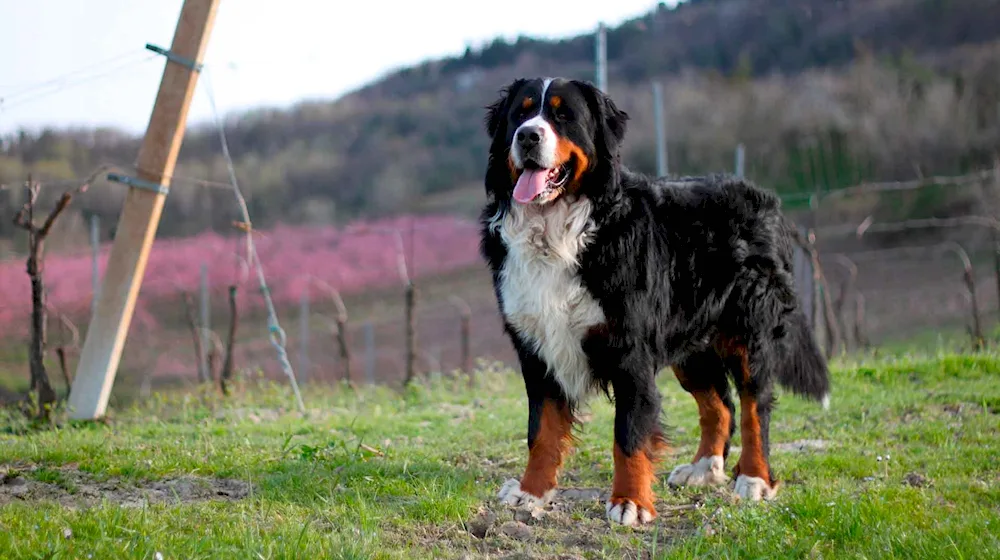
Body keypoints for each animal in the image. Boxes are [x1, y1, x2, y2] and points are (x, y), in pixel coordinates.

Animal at [476, 76, 828, 528]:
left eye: (563, 115)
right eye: (519, 115)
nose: (527, 136)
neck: (556, 231)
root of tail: (762, 197)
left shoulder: (630, 352)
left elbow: (629, 434)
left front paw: (630, 502)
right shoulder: (536, 350)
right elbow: (541, 431)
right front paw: (530, 492)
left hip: (750, 334)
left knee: (755, 407)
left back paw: (753, 478)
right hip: (691, 345)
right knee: (720, 406)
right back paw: (703, 468)